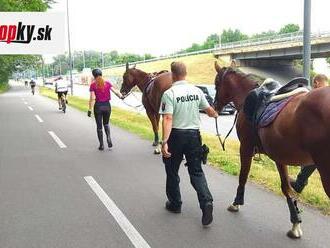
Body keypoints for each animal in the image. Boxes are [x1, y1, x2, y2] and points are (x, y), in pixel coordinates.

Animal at [214, 61, 330, 238]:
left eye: (216, 83)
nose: (214, 106)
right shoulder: (279, 157)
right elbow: (287, 188)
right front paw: (295, 221)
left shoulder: (245, 148)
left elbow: (243, 176)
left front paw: (236, 202)